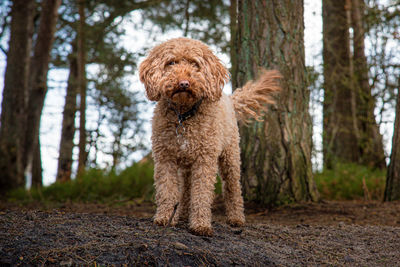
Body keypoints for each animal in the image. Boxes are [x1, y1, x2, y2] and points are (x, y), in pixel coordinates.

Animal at [139, 37, 280, 237]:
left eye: (195, 64)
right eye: (171, 63)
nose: (184, 83)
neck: (184, 116)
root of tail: (229, 98)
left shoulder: (204, 160)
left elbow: (201, 193)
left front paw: (200, 225)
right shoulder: (165, 159)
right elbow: (167, 190)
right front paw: (165, 218)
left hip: (230, 157)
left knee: (233, 188)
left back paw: (236, 218)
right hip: (186, 164)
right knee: (186, 188)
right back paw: (182, 213)